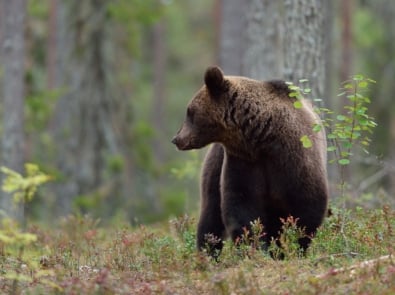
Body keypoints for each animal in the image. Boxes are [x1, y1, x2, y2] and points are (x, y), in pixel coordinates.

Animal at [172, 66, 330, 258]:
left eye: (189, 111)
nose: (176, 139)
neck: (263, 138)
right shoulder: (244, 162)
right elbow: (242, 206)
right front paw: (254, 248)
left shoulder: (294, 159)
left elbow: (307, 206)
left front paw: (291, 248)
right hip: (216, 162)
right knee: (211, 212)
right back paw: (208, 253)